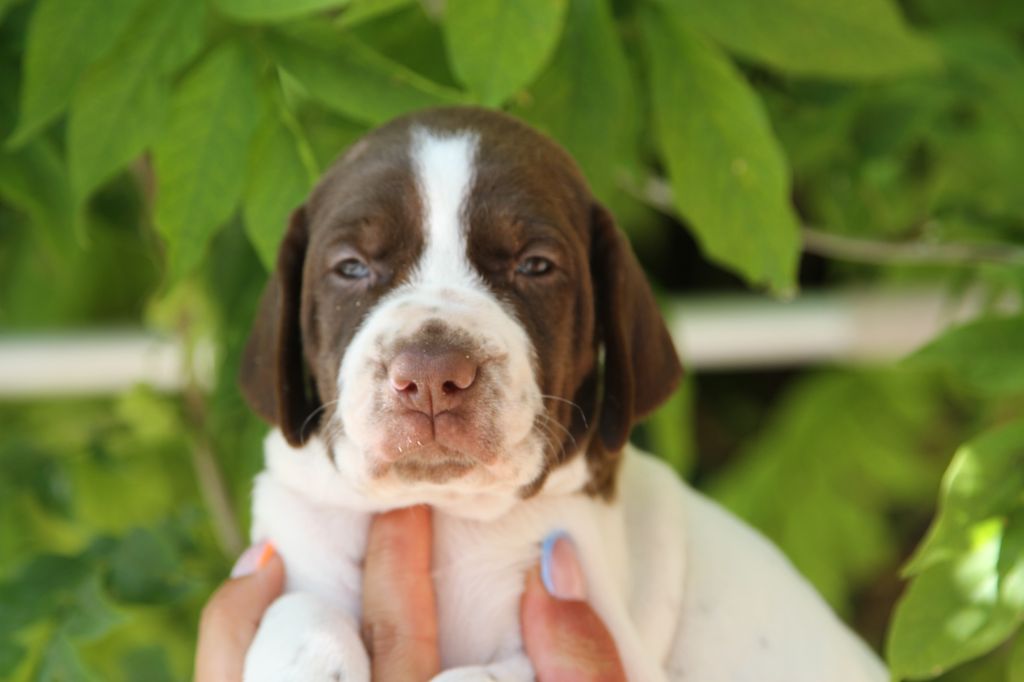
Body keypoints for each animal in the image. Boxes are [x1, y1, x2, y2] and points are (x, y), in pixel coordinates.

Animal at [238, 107, 888, 681]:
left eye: (535, 266)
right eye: (350, 268)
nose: (429, 374)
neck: (447, 510)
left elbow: (477, 677)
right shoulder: (296, 543)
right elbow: (299, 610)